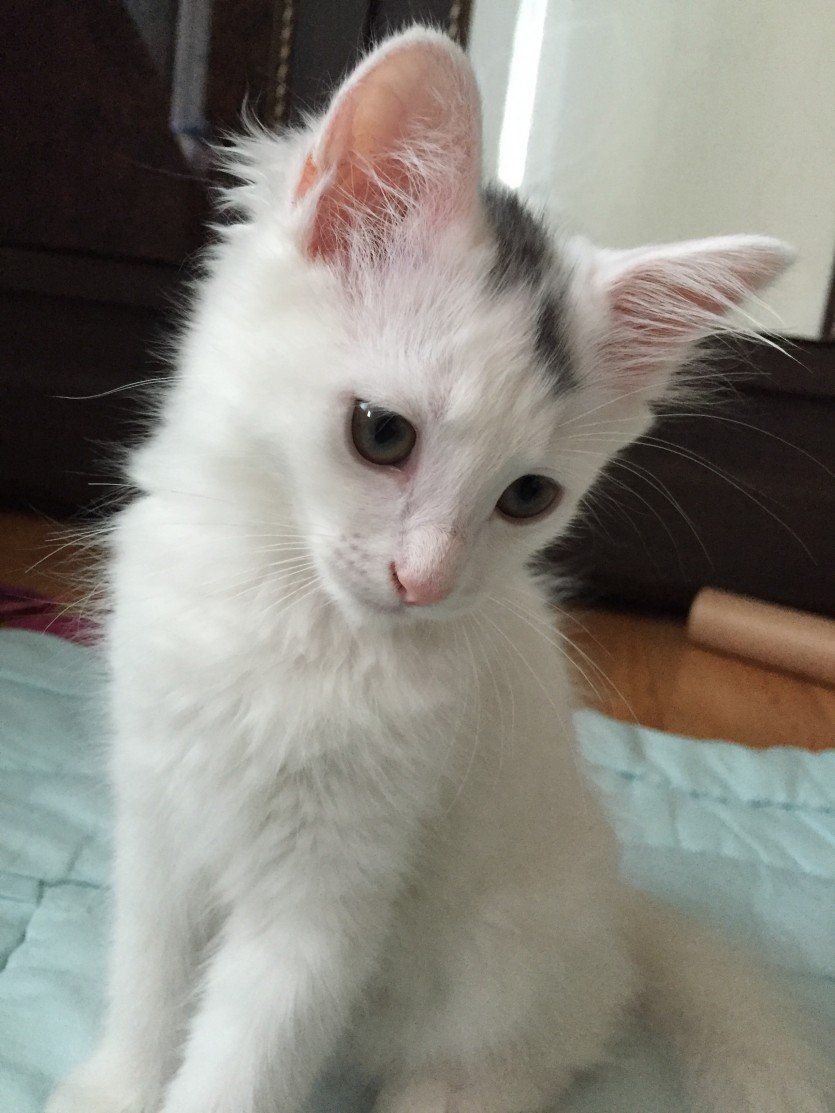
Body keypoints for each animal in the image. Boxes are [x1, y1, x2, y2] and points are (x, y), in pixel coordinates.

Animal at [48, 25, 829, 1113]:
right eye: (382, 434)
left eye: (527, 497)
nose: (423, 580)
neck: (286, 618)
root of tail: (617, 909)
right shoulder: (160, 825)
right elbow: (148, 992)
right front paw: (113, 1088)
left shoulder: (326, 902)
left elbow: (238, 1068)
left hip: (498, 977)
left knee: (516, 1062)